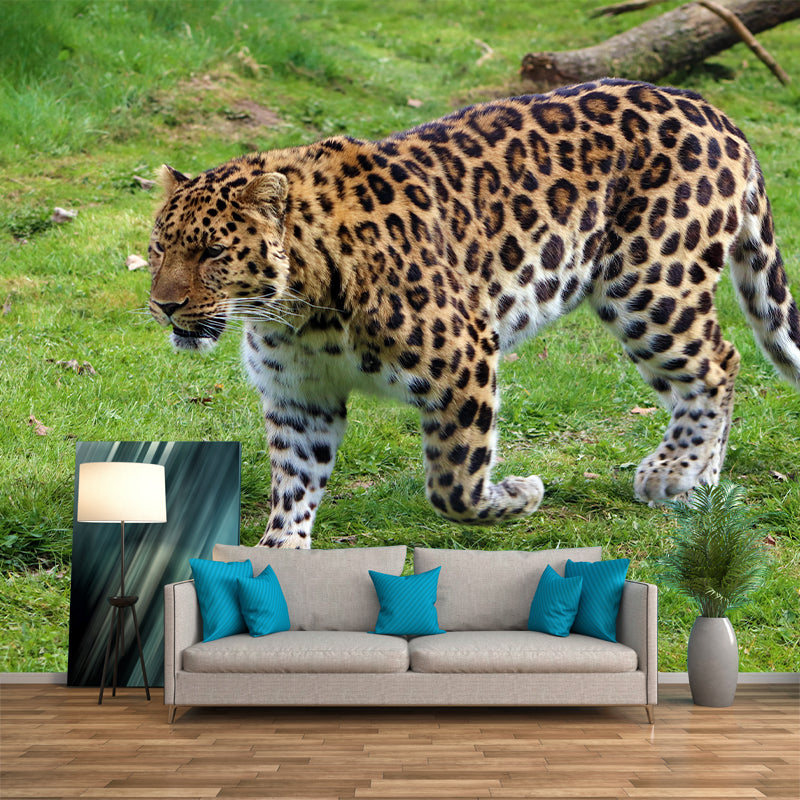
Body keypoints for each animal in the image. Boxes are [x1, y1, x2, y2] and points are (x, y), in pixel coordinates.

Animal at [148, 78, 800, 549]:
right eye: (158, 248)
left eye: (211, 252)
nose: (163, 304)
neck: (295, 311)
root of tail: (713, 111)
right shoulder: (300, 398)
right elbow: (294, 485)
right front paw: (279, 554)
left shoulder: (463, 361)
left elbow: (454, 484)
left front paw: (519, 494)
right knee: (707, 373)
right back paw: (701, 481)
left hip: (648, 287)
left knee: (720, 363)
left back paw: (673, 471)